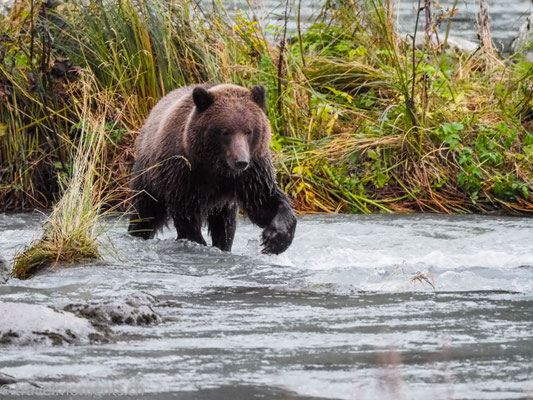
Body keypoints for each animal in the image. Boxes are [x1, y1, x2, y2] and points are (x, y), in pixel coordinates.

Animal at [127, 83, 298, 255]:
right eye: (226, 131)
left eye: (249, 131)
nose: (241, 161)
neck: (217, 167)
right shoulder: (184, 175)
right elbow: (187, 217)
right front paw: (198, 242)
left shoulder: (251, 174)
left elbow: (265, 201)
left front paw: (275, 238)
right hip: (149, 177)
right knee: (145, 212)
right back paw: (137, 232)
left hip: (225, 204)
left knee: (226, 224)